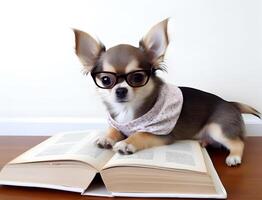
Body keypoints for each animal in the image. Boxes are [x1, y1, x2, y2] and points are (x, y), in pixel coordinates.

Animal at [73, 19, 260, 166]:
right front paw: (107, 138)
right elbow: (113, 129)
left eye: (137, 77)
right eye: (106, 80)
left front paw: (127, 143)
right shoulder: (119, 124)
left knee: (239, 143)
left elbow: (141, 133)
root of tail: (231, 103)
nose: (120, 90)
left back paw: (234, 157)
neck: (127, 111)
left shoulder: (163, 134)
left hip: (217, 128)